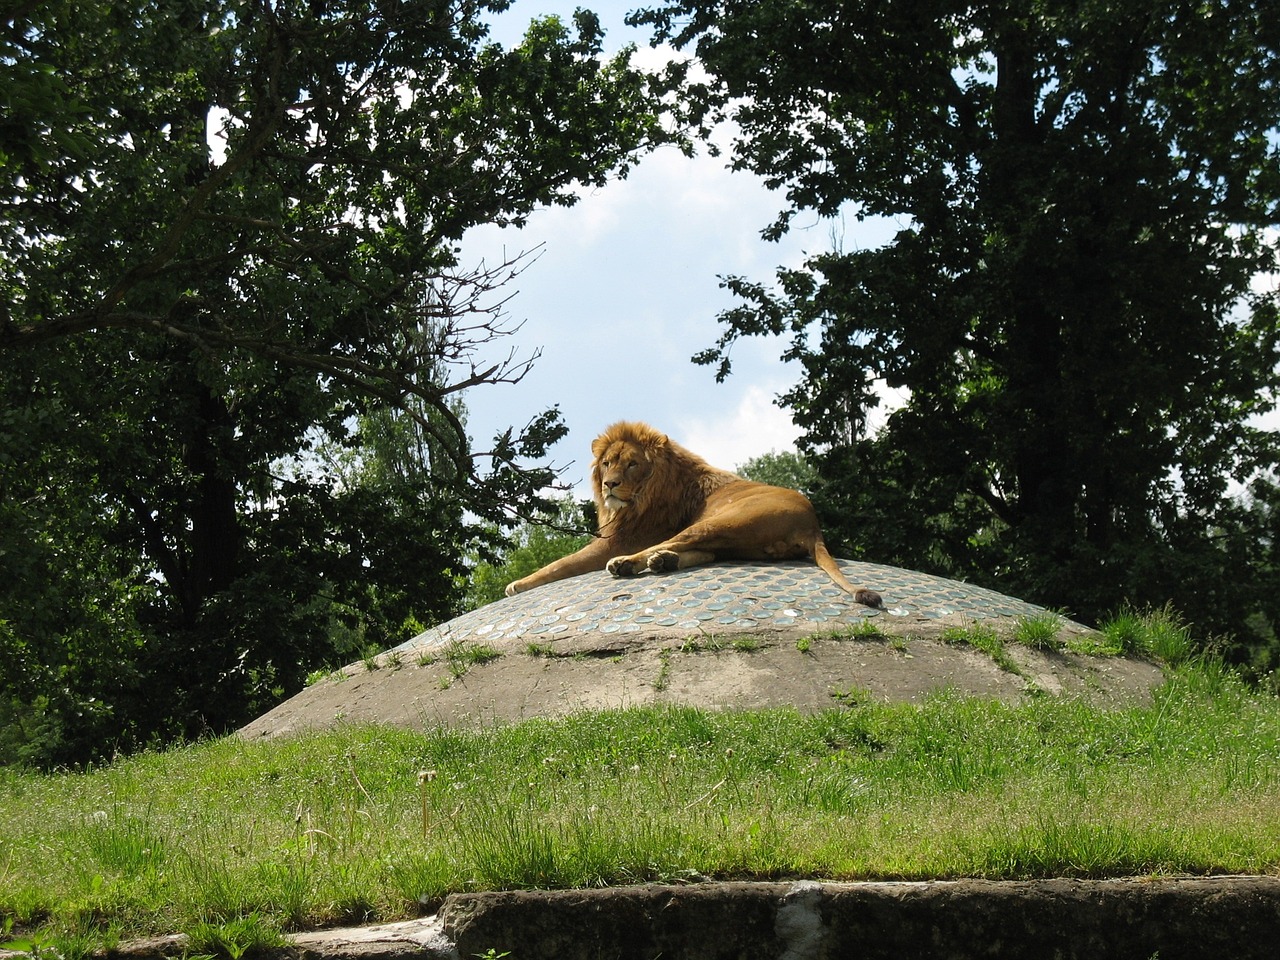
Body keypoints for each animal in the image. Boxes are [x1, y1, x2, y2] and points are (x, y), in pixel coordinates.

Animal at [504, 419, 885, 609]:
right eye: (608, 462)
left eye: (632, 464)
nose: (610, 484)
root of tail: (813, 525)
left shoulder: (617, 540)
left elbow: (561, 563)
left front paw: (517, 584)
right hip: (736, 539)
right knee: (703, 553)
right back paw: (663, 562)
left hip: (722, 520)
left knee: (671, 545)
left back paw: (630, 564)